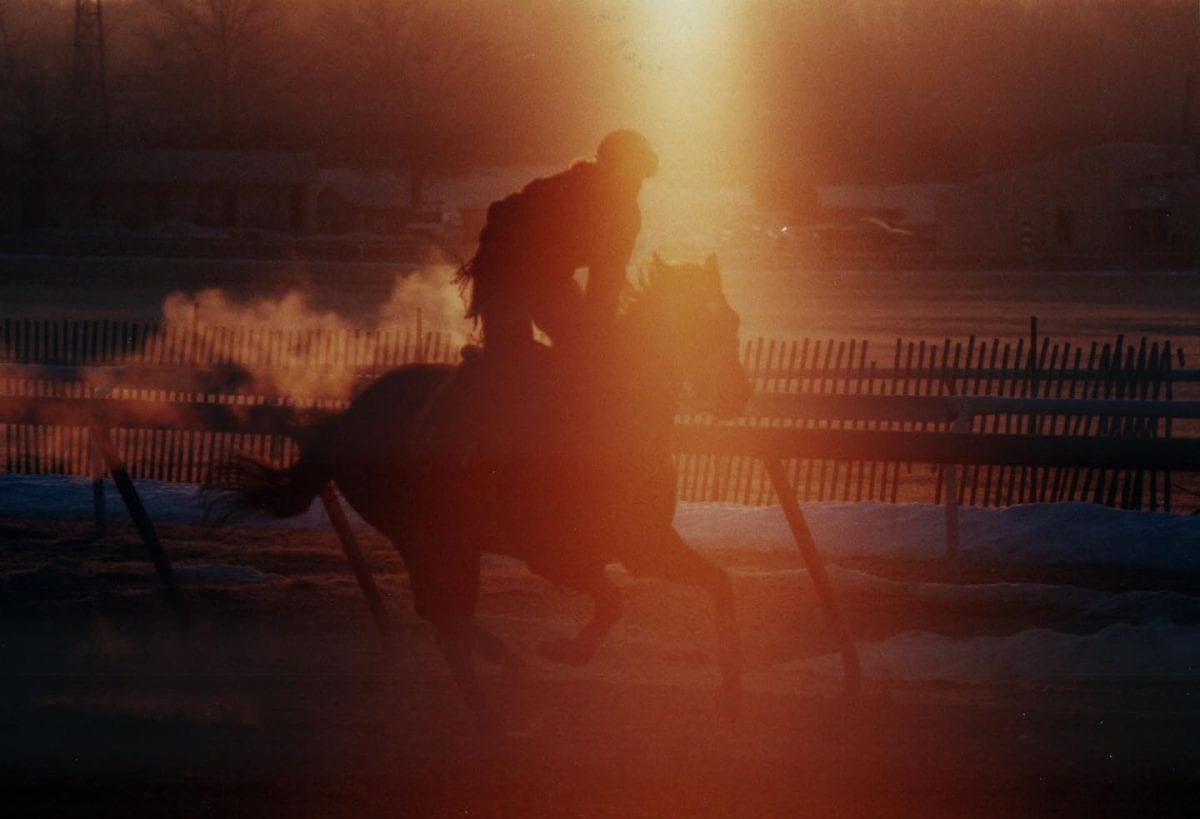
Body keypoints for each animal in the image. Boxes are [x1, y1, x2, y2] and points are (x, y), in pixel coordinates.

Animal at [224, 253, 748, 725]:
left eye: (731, 318)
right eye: (694, 323)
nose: (734, 395)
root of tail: (345, 421)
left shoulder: (646, 546)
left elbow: (719, 584)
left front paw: (730, 693)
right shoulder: (553, 557)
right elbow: (614, 601)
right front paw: (565, 651)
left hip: (453, 545)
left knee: (444, 616)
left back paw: (505, 671)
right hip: (427, 540)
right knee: (445, 622)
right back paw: (491, 710)